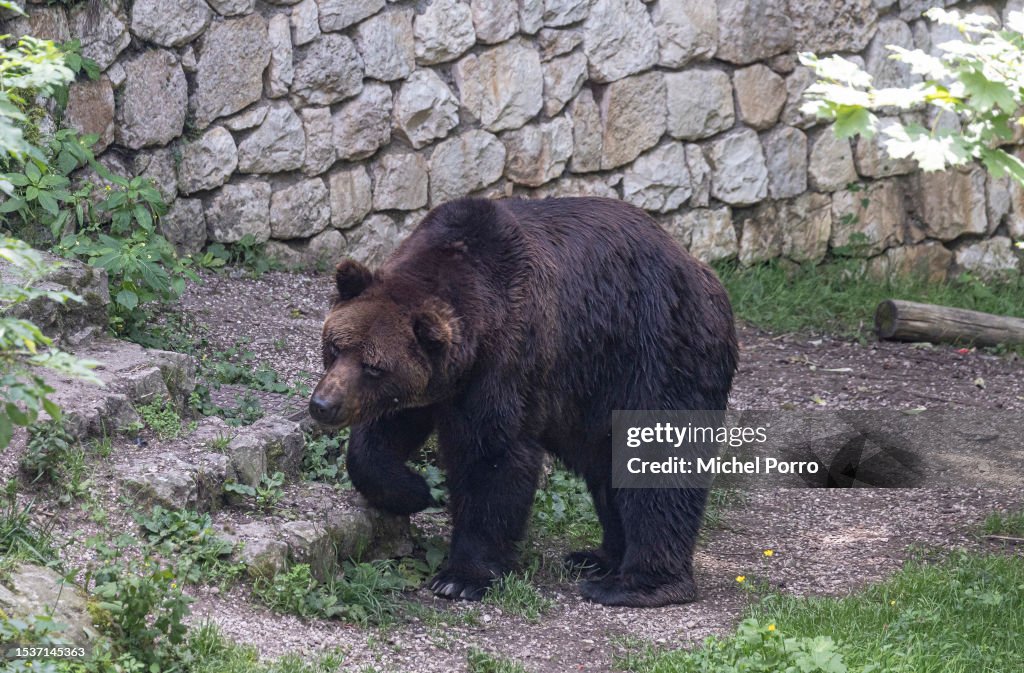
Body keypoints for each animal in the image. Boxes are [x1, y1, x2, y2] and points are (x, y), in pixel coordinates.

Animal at [309, 196, 738, 607]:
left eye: (374, 366)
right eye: (335, 346)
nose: (323, 404)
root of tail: (700, 269)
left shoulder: (509, 360)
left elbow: (493, 459)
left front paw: (461, 578)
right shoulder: (434, 385)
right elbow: (382, 436)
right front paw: (411, 490)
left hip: (656, 354)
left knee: (656, 463)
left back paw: (637, 584)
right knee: (607, 468)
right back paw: (597, 558)